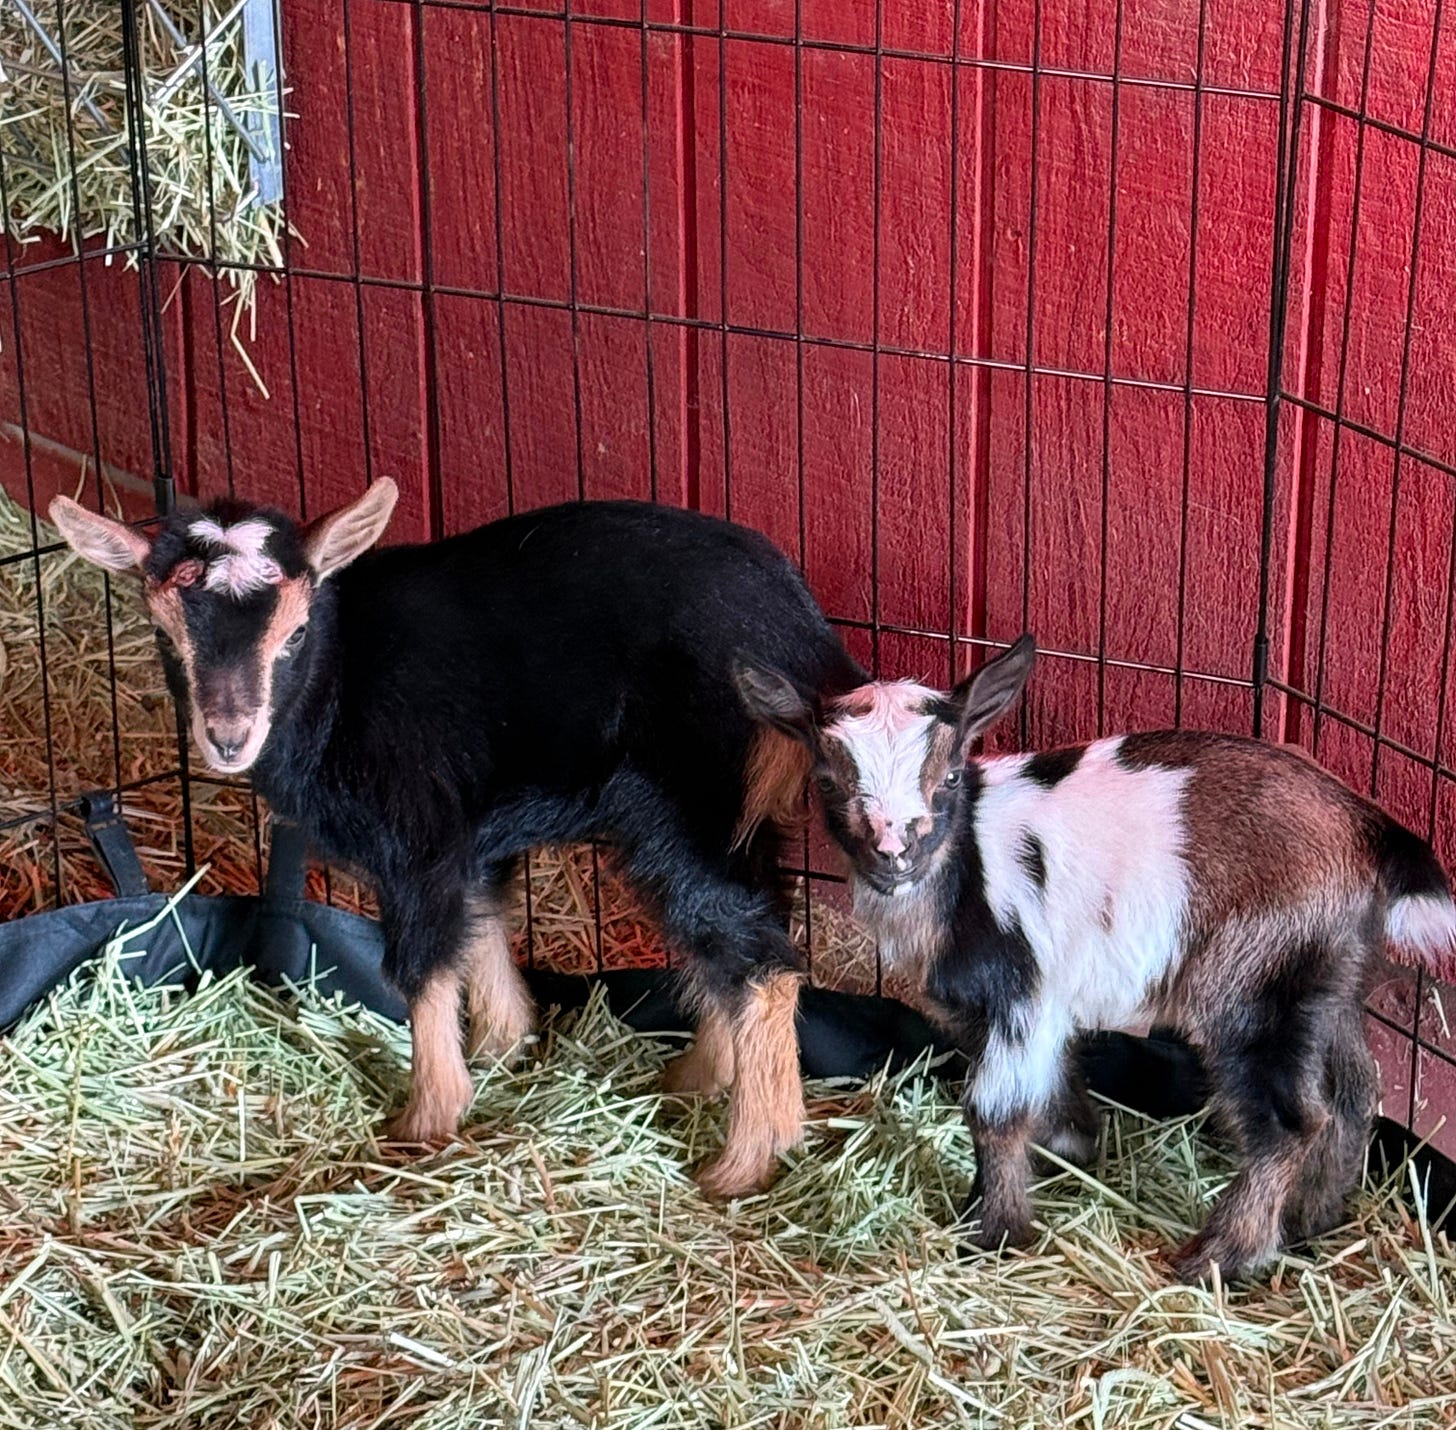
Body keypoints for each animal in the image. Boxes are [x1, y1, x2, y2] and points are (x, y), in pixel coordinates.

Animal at [50, 482, 866, 1199]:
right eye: (165, 635)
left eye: (297, 633)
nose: (227, 738)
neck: (342, 678)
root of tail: (802, 642)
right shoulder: (471, 834)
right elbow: (480, 924)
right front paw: (504, 1046)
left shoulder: (417, 834)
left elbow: (421, 962)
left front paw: (427, 1115)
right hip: (733, 814)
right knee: (741, 932)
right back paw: (701, 1080)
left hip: (686, 802)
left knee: (755, 954)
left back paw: (747, 1156)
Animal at [735, 634, 1456, 1279]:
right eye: (828, 781)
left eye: (949, 776)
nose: (893, 855)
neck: (963, 870)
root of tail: (1368, 829)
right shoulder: (1006, 1008)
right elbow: (1053, 1081)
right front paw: (1074, 1147)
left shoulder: (1022, 993)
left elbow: (994, 1110)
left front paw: (995, 1231)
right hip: (1326, 973)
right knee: (1355, 1091)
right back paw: (1313, 1221)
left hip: (1253, 977)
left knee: (1291, 1119)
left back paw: (1222, 1256)